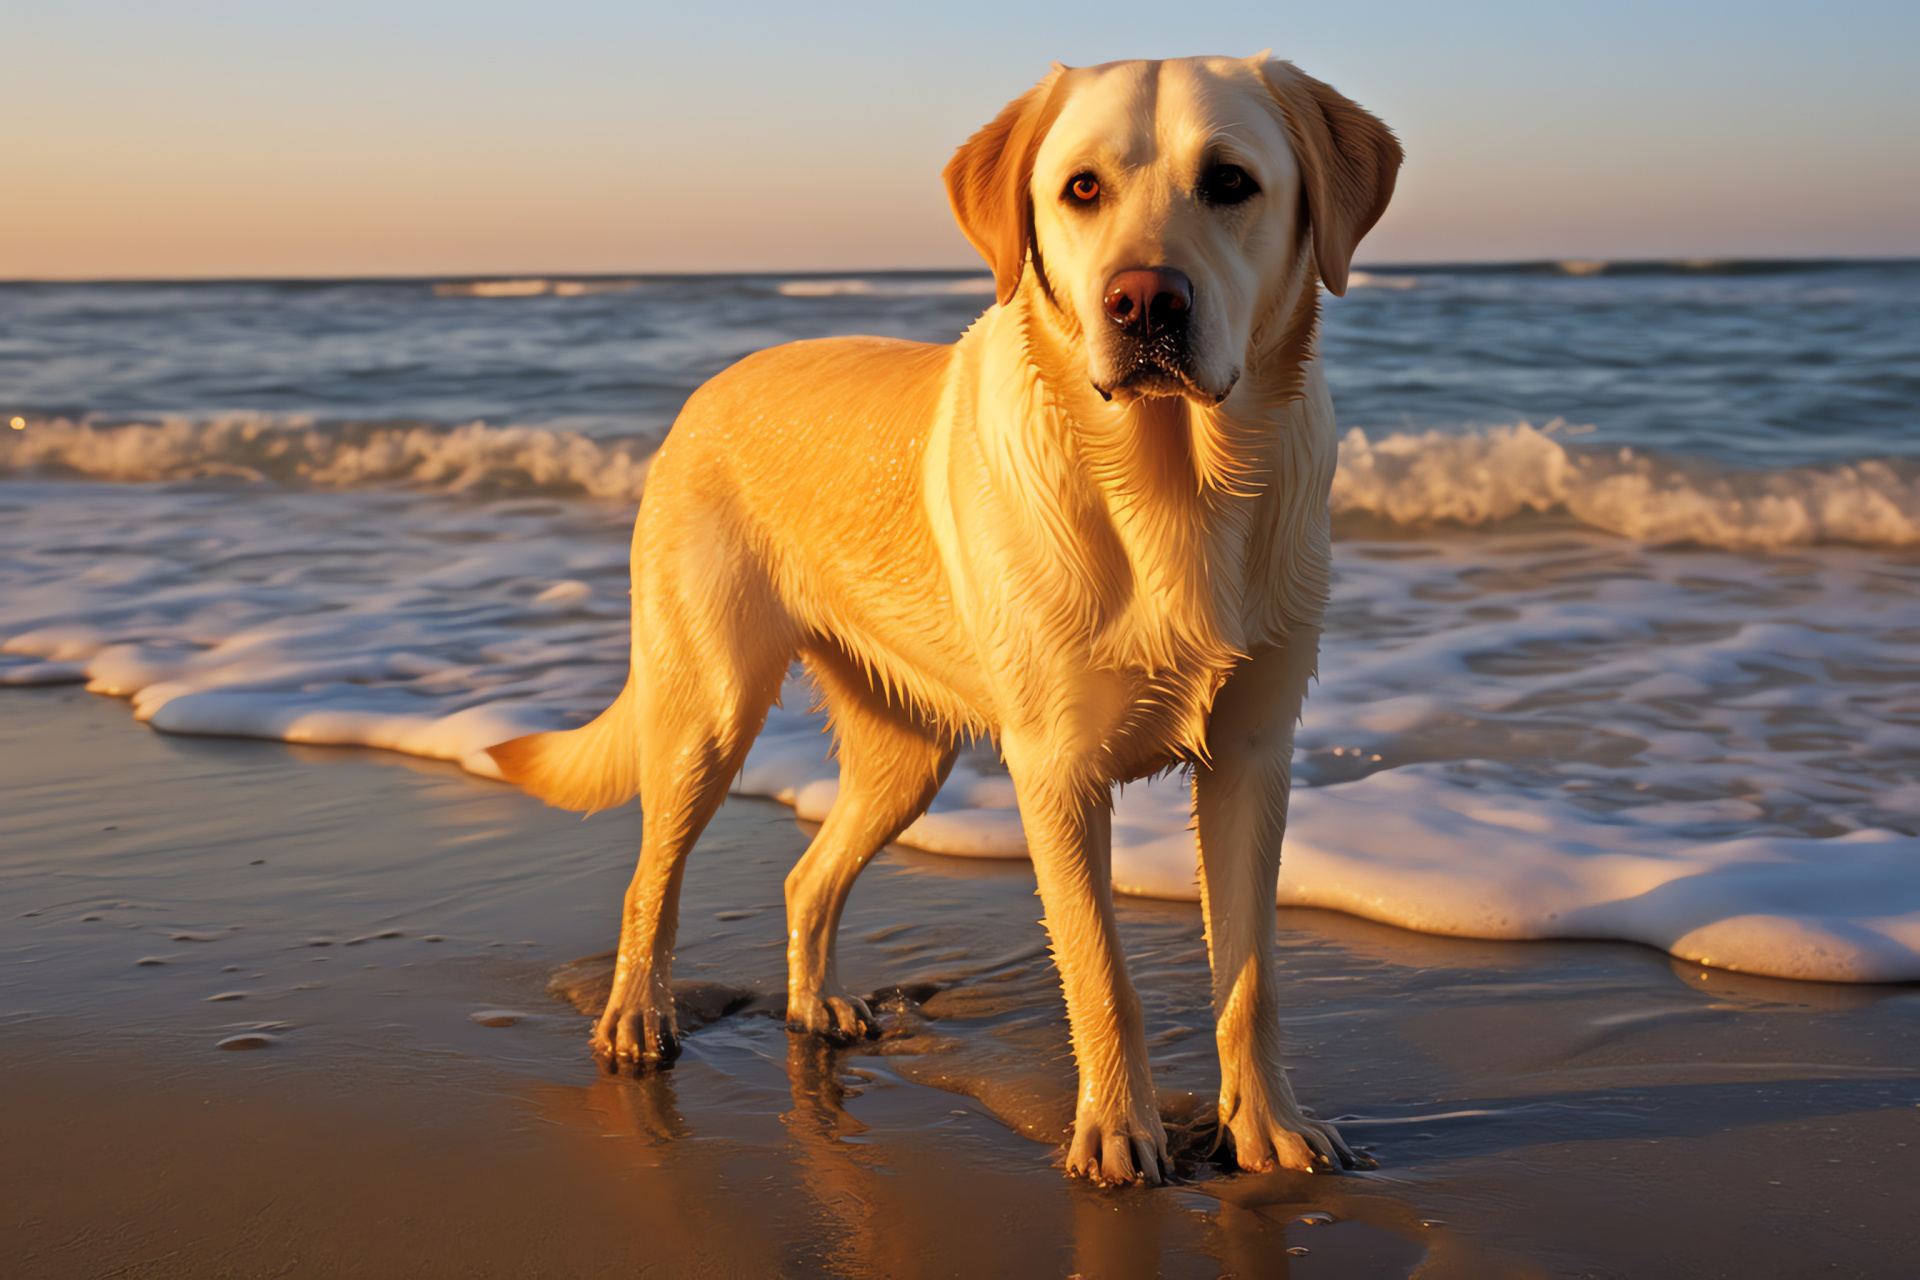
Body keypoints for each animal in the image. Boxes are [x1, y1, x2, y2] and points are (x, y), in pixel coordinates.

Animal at [491, 55, 1397, 1189]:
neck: (1170, 490)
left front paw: (1269, 1128)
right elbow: (1102, 972)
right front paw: (1116, 1131)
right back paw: (636, 1016)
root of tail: (710, 385)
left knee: (805, 876)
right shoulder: (1057, 771)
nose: (1144, 301)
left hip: (907, 755)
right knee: (650, 878)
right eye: (1081, 189)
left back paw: (816, 1005)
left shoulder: (1251, 754)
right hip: (709, 708)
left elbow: (1251, 977)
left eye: (1231, 182)